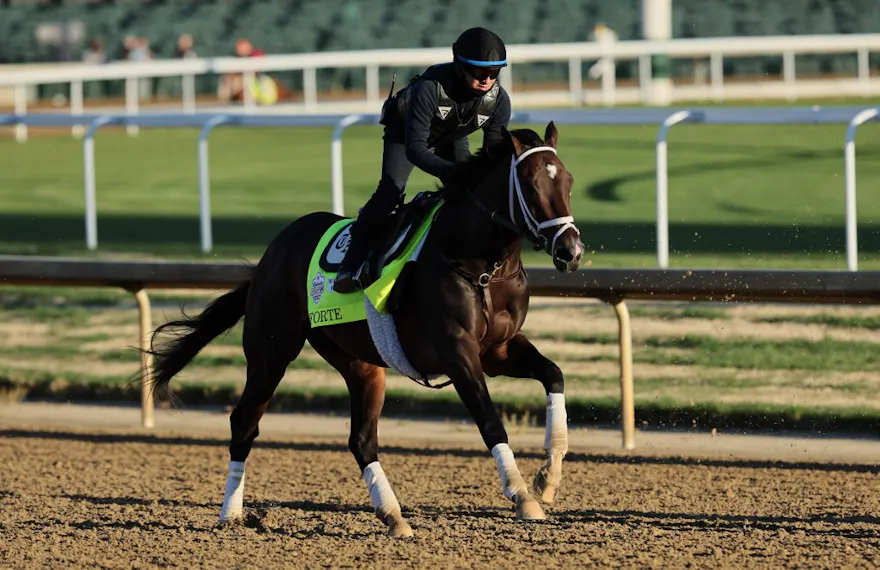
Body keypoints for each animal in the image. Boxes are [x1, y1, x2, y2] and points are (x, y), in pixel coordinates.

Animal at [144, 121, 584, 536]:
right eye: (531, 185)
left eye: (567, 180)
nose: (572, 251)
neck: (481, 266)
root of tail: (269, 256)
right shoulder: (457, 352)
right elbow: (490, 421)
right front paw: (522, 495)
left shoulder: (498, 349)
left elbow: (554, 374)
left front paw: (549, 477)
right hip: (272, 350)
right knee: (244, 422)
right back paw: (231, 514)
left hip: (362, 365)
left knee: (361, 440)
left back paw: (393, 516)